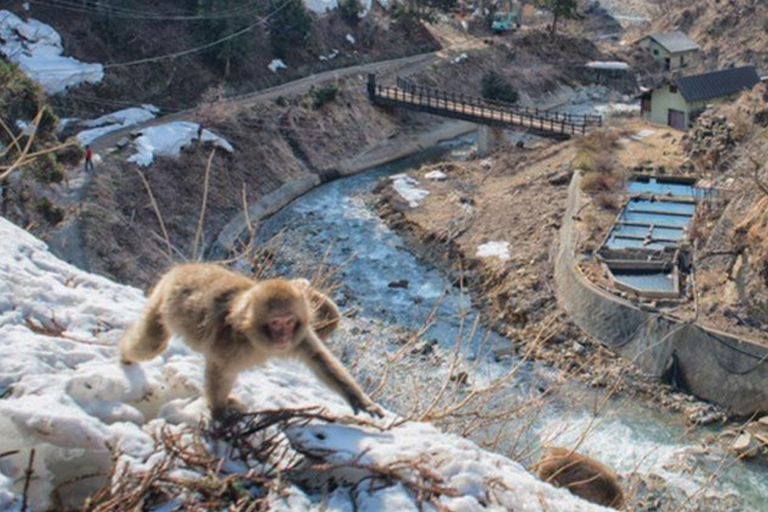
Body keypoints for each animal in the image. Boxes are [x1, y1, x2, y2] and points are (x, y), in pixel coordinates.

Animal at [119, 263, 384, 420]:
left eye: (289, 321)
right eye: (276, 323)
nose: (283, 337)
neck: (255, 337)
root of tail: (186, 267)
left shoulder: (301, 337)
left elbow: (321, 361)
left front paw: (362, 402)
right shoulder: (228, 340)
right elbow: (220, 369)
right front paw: (219, 411)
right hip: (163, 299)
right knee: (151, 344)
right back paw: (124, 355)